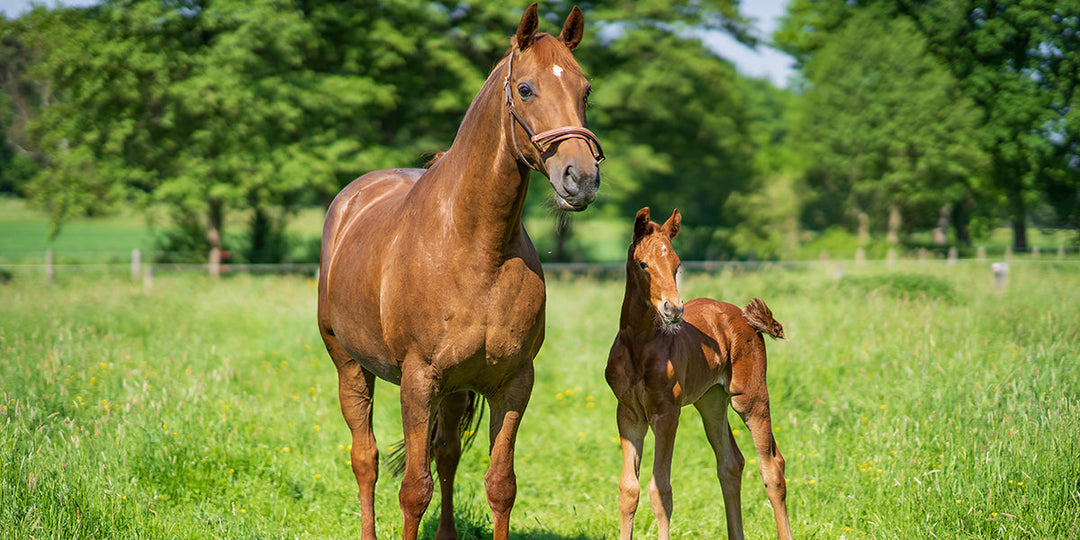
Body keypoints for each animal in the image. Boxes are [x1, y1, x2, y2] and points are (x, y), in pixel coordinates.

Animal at [317, 4, 602, 539]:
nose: (581, 179)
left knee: (446, 454)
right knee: (365, 458)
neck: (476, 251)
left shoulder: (513, 382)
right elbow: (413, 490)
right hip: (350, 366)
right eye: (526, 89)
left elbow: (500, 484)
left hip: (454, 389)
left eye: (585, 89)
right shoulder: (418, 380)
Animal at [604, 208, 793, 540]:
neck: (640, 344)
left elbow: (660, 491)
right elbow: (629, 489)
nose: (673, 309)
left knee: (772, 466)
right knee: (731, 462)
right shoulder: (629, 413)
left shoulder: (667, 413)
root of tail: (743, 317)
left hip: (750, 397)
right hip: (711, 402)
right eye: (643, 264)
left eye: (677, 264)